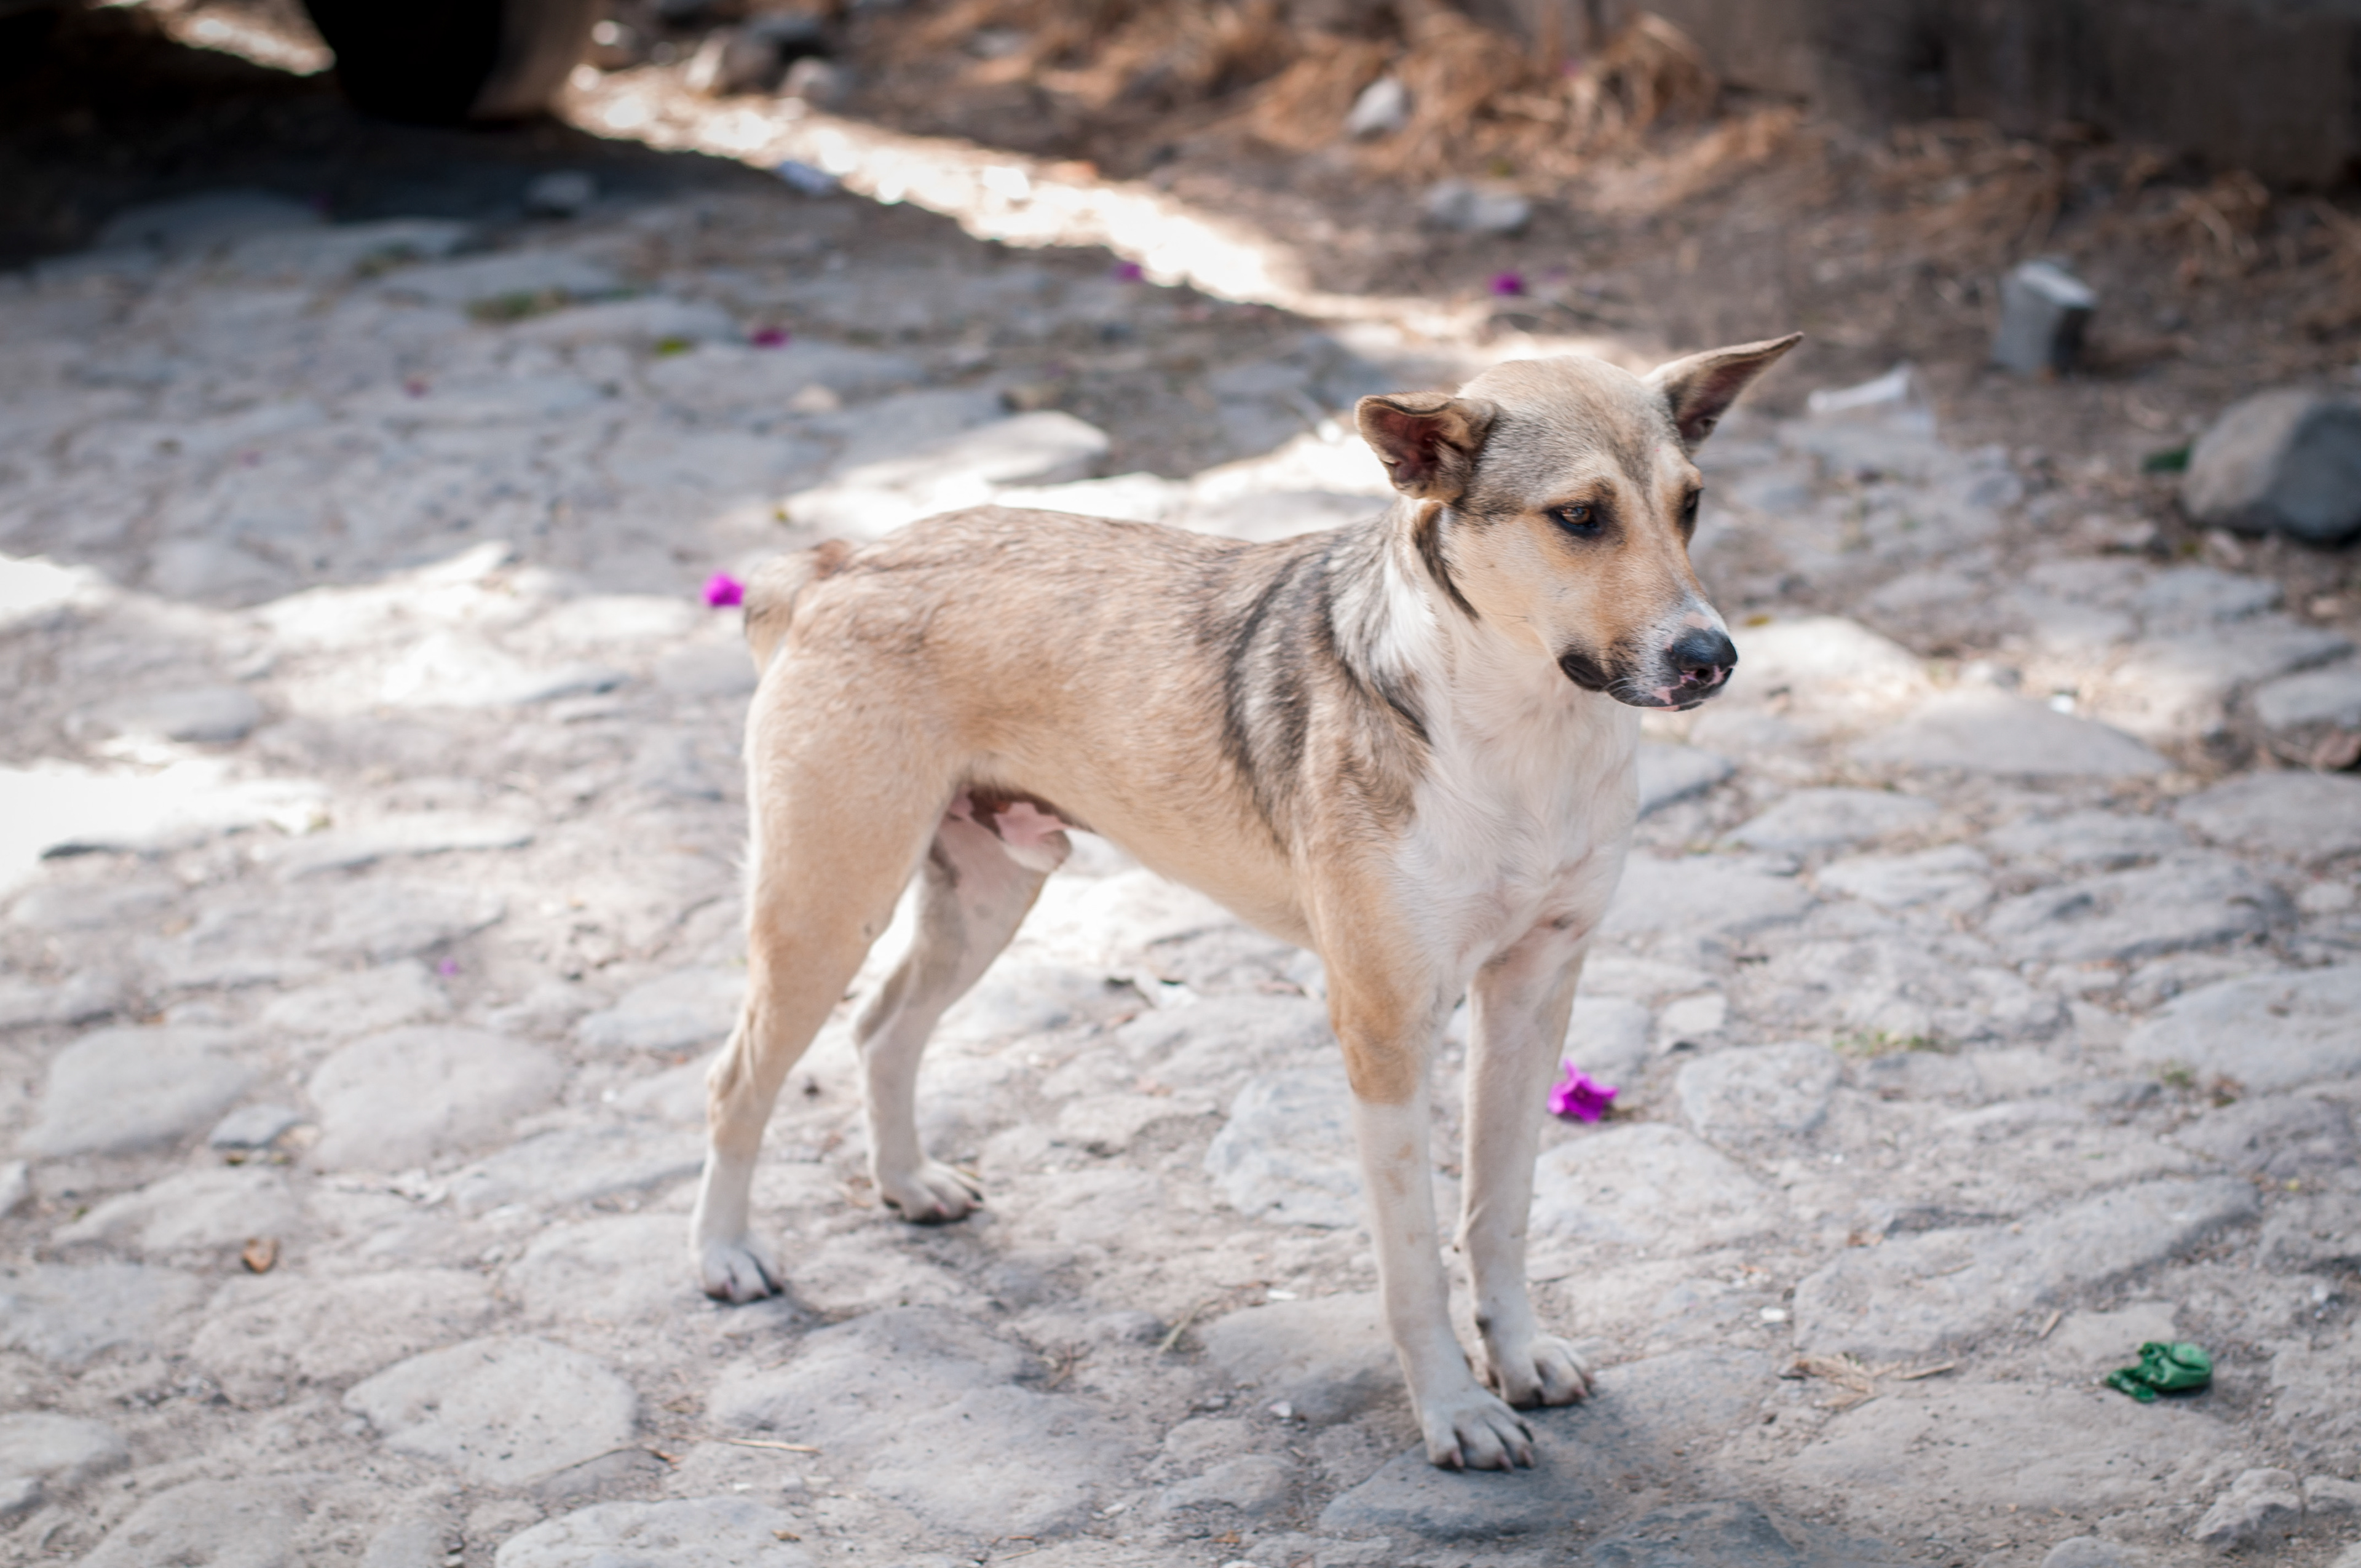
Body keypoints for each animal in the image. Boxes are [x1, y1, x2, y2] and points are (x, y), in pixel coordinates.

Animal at [691, 334, 1800, 1470]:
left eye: (1691, 503)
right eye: (1579, 516)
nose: (1712, 658)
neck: (1523, 727)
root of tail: (840, 561)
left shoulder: (1534, 995)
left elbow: (1499, 1211)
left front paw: (1519, 1355)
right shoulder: (1385, 1031)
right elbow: (1412, 1259)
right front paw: (1454, 1408)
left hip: (988, 896)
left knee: (882, 1028)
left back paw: (907, 1182)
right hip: (827, 907)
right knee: (737, 1079)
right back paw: (728, 1255)